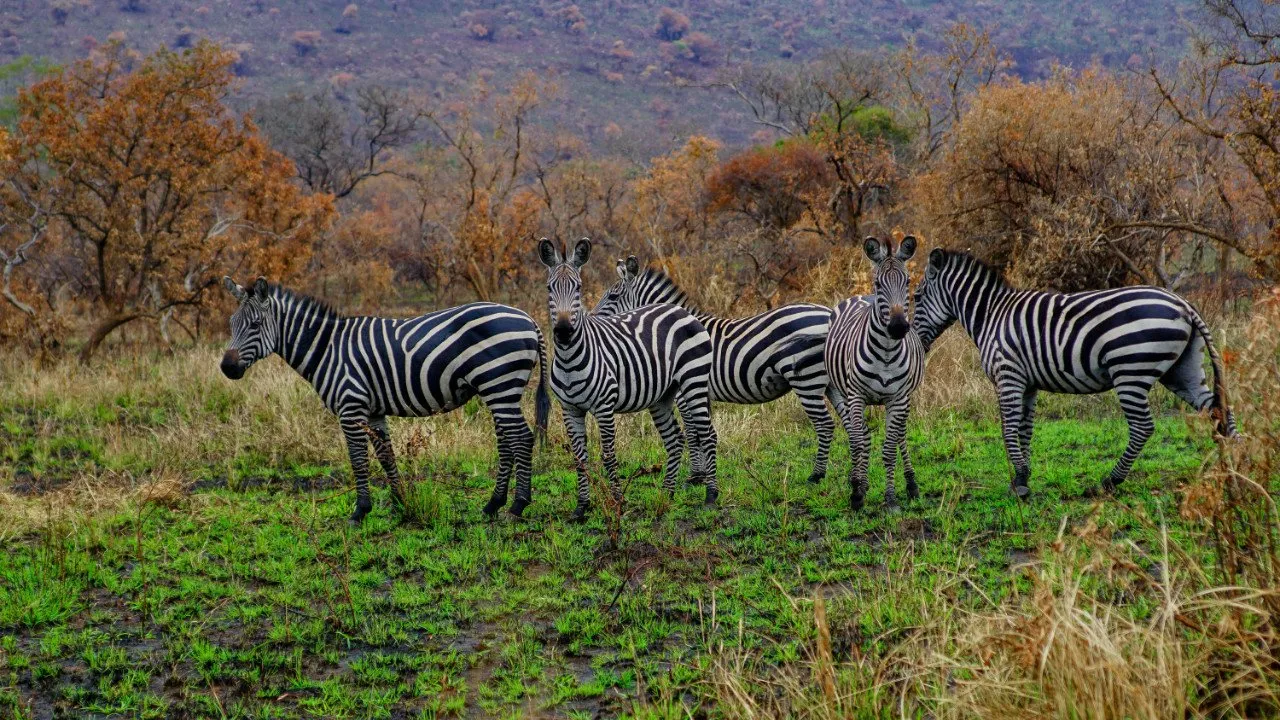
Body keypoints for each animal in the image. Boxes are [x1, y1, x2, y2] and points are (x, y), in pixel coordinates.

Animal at [220, 275, 550, 520]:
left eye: (255, 325)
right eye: (231, 324)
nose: (226, 368)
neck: (327, 349)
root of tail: (528, 319)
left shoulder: (350, 407)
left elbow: (358, 460)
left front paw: (360, 512)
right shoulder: (374, 410)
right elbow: (386, 455)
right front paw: (400, 504)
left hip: (499, 384)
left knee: (522, 438)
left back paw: (518, 505)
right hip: (498, 390)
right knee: (507, 442)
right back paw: (493, 504)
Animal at [537, 238, 721, 517]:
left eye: (578, 288)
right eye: (549, 288)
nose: (564, 331)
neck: (570, 360)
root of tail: (680, 310)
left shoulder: (604, 407)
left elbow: (609, 456)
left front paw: (616, 502)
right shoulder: (569, 409)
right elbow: (580, 459)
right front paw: (581, 507)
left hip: (693, 384)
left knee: (706, 433)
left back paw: (710, 495)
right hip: (662, 396)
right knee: (675, 440)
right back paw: (667, 493)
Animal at [596, 252, 839, 481]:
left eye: (613, 296)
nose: (591, 320)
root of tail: (826, 312)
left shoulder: (685, 393)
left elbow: (693, 433)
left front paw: (695, 475)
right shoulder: (699, 393)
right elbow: (703, 430)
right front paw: (704, 474)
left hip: (806, 379)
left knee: (825, 424)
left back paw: (816, 475)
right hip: (829, 382)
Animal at [824, 235, 926, 509]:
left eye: (908, 282)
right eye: (879, 283)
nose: (899, 327)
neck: (887, 353)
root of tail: (862, 295)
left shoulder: (898, 398)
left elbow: (890, 448)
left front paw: (890, 499)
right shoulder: (856, 395)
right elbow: (858, 443)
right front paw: (857, 493)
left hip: (905, 399)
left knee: (900, 436)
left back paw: (911, 484)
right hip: (845, 392)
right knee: (860, 435)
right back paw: (859, 481)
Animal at [916, 245, 1233, 491]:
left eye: (917, 298)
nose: (917, 342)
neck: (991, 315)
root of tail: (1183, 303)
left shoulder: (1008, 376)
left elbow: (1008, 428)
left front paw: (1018, 483)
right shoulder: (1027, 383)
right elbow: (1025, 429)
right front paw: (1024, 476)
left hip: (1130, 370)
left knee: (1143, 426)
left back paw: (1110, 481)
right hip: (1181, 370)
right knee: (1217, 409)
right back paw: (1236, 470)